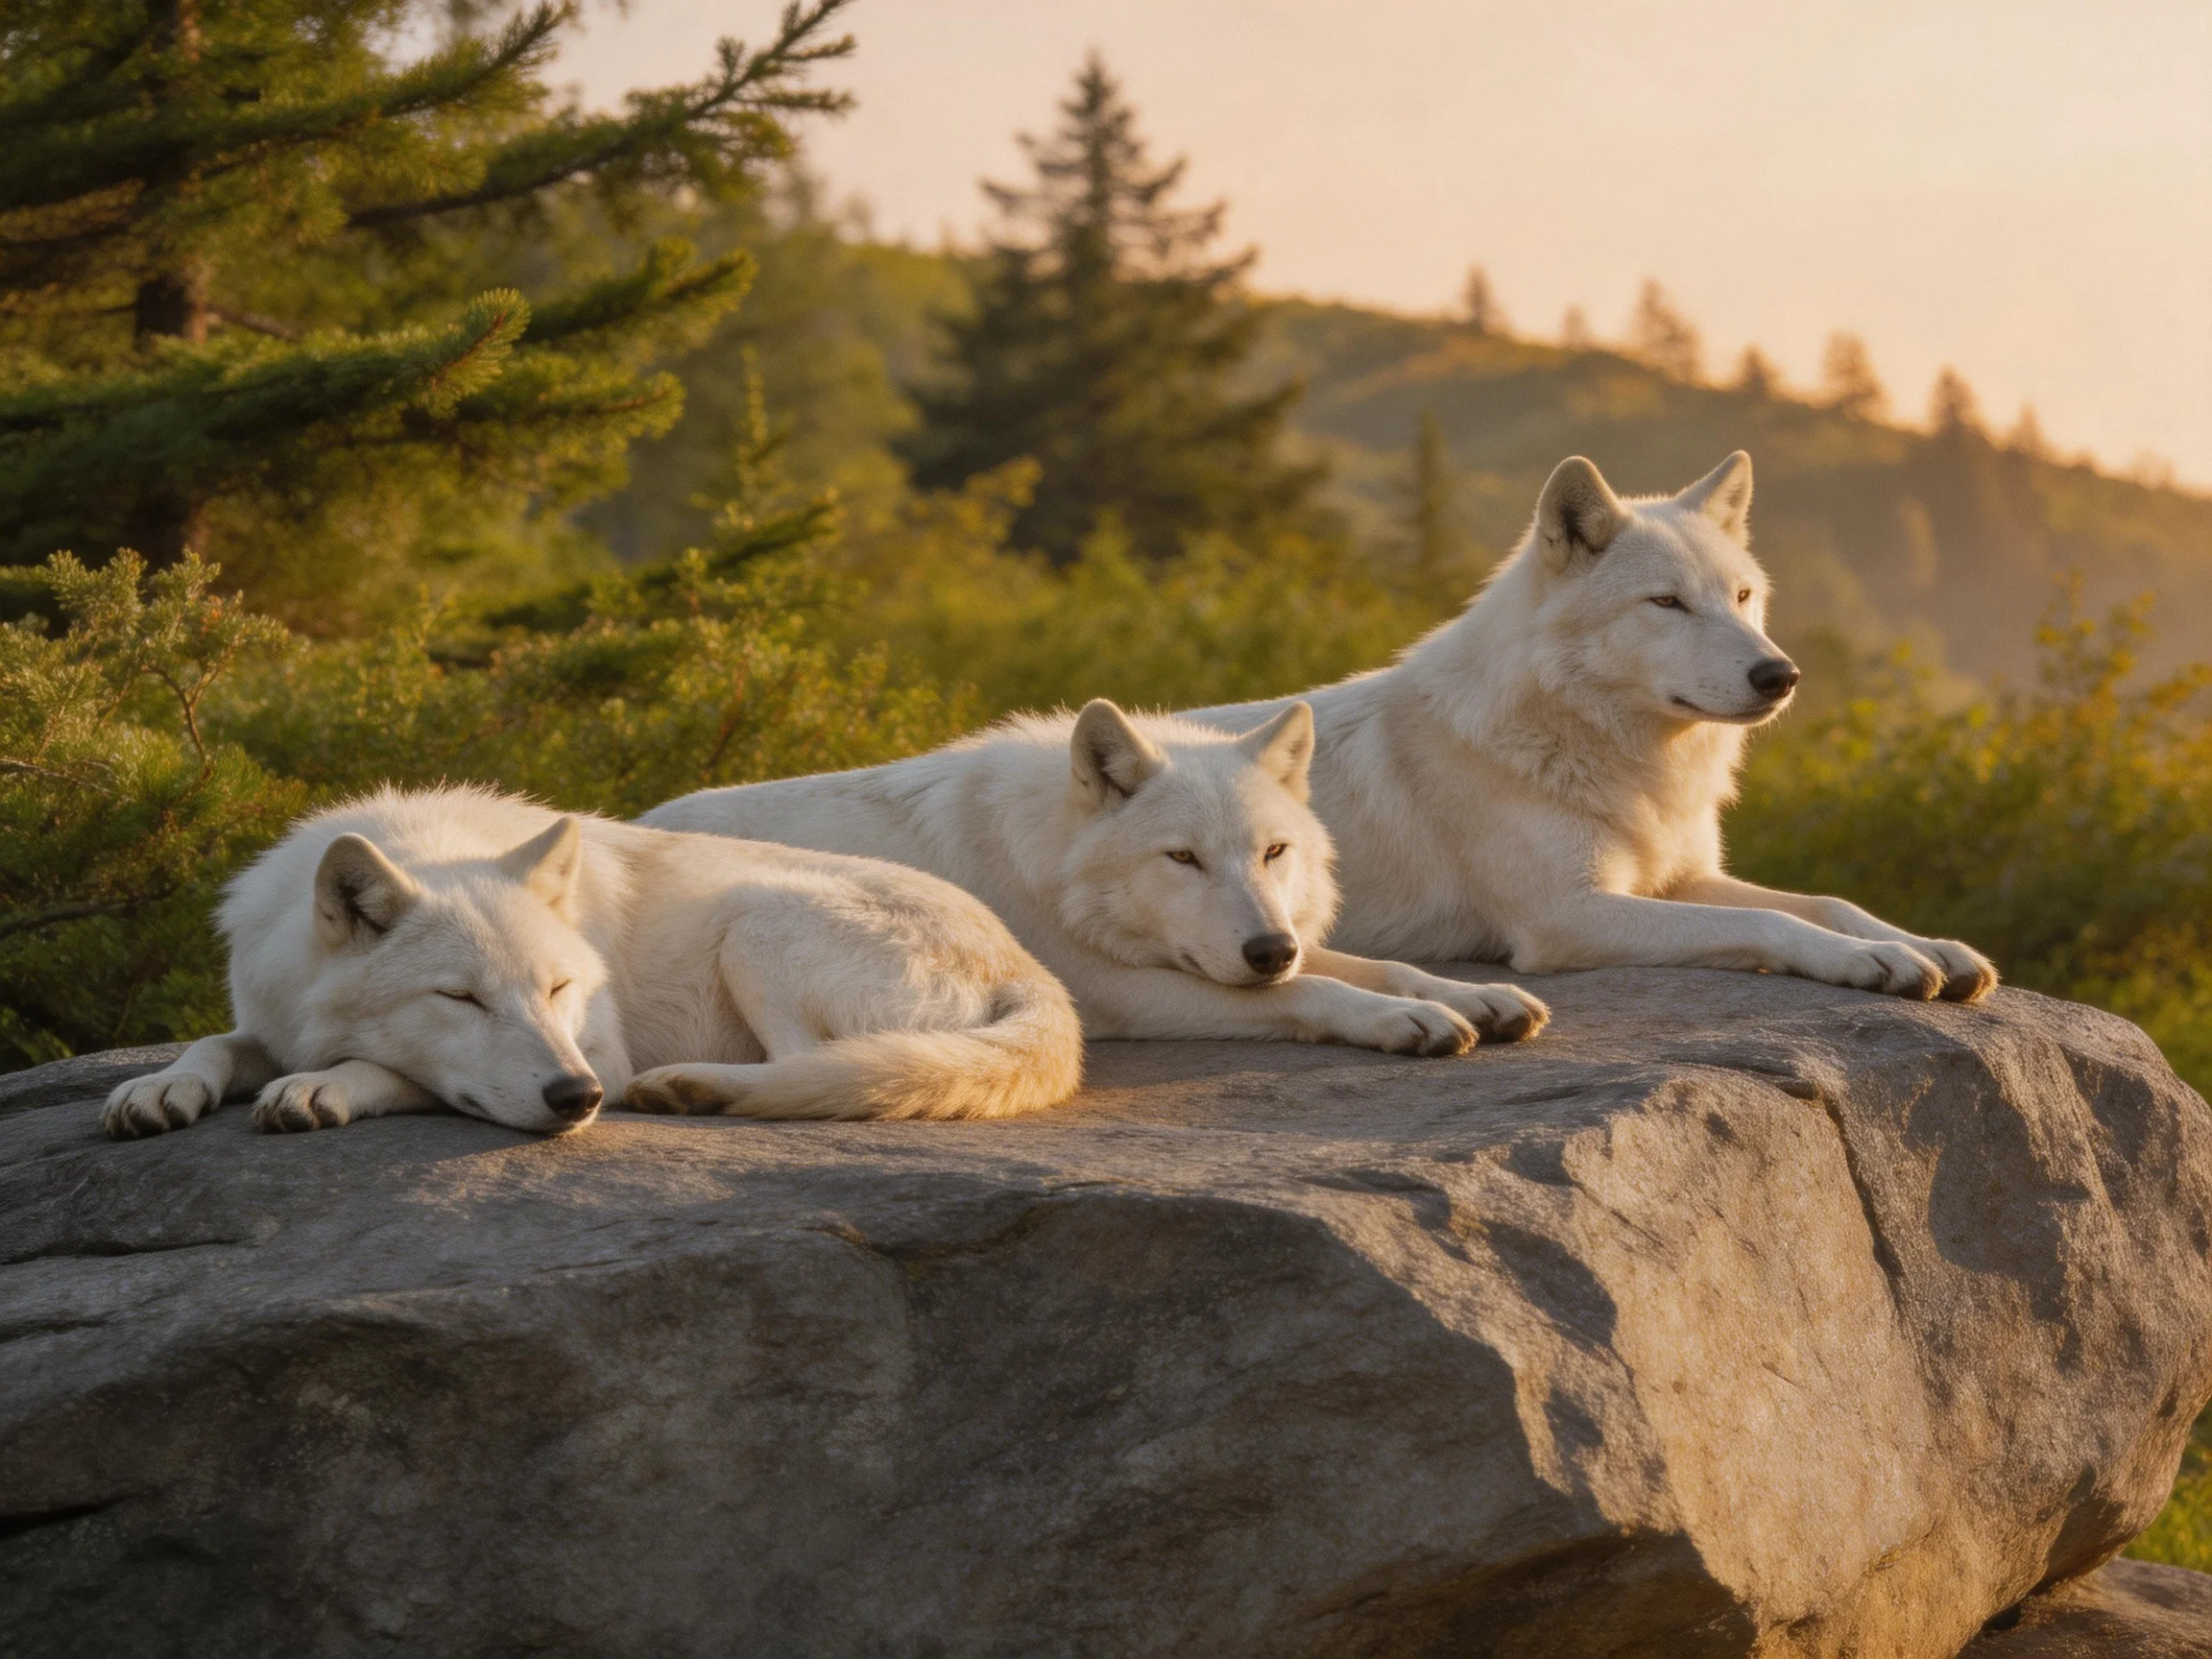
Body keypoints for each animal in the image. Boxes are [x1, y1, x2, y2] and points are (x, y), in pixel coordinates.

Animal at [103, 785, 1083, 1139]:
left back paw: (692, 1090)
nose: (578, 1099)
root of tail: (1029, 967)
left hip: (755, 924)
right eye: (460, 999)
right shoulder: (263, 1013)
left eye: (559, 988)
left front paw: (324, 1085)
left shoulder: (599, 1050)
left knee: (825, 1075)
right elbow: (215, 1044)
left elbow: (396, 1075)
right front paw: (158, 1087)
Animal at [642, 700, 1549, 1053]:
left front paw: (1473, 996)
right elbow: (1321, 990)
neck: (1050, 862)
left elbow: (1381, 965)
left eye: (1272, 853)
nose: (1269, 952)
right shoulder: (1121, 992)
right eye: (1182, 858)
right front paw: (1404, 1021)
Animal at [1188, 452, 1998, 1001]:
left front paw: (1931, 948)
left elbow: (1829, 903)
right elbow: (1773, 924)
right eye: (1667, 603)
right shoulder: (1570, 914)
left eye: (1741, 596)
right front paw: (1873, 961)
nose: (1781, 676)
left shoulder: (1679, 877)